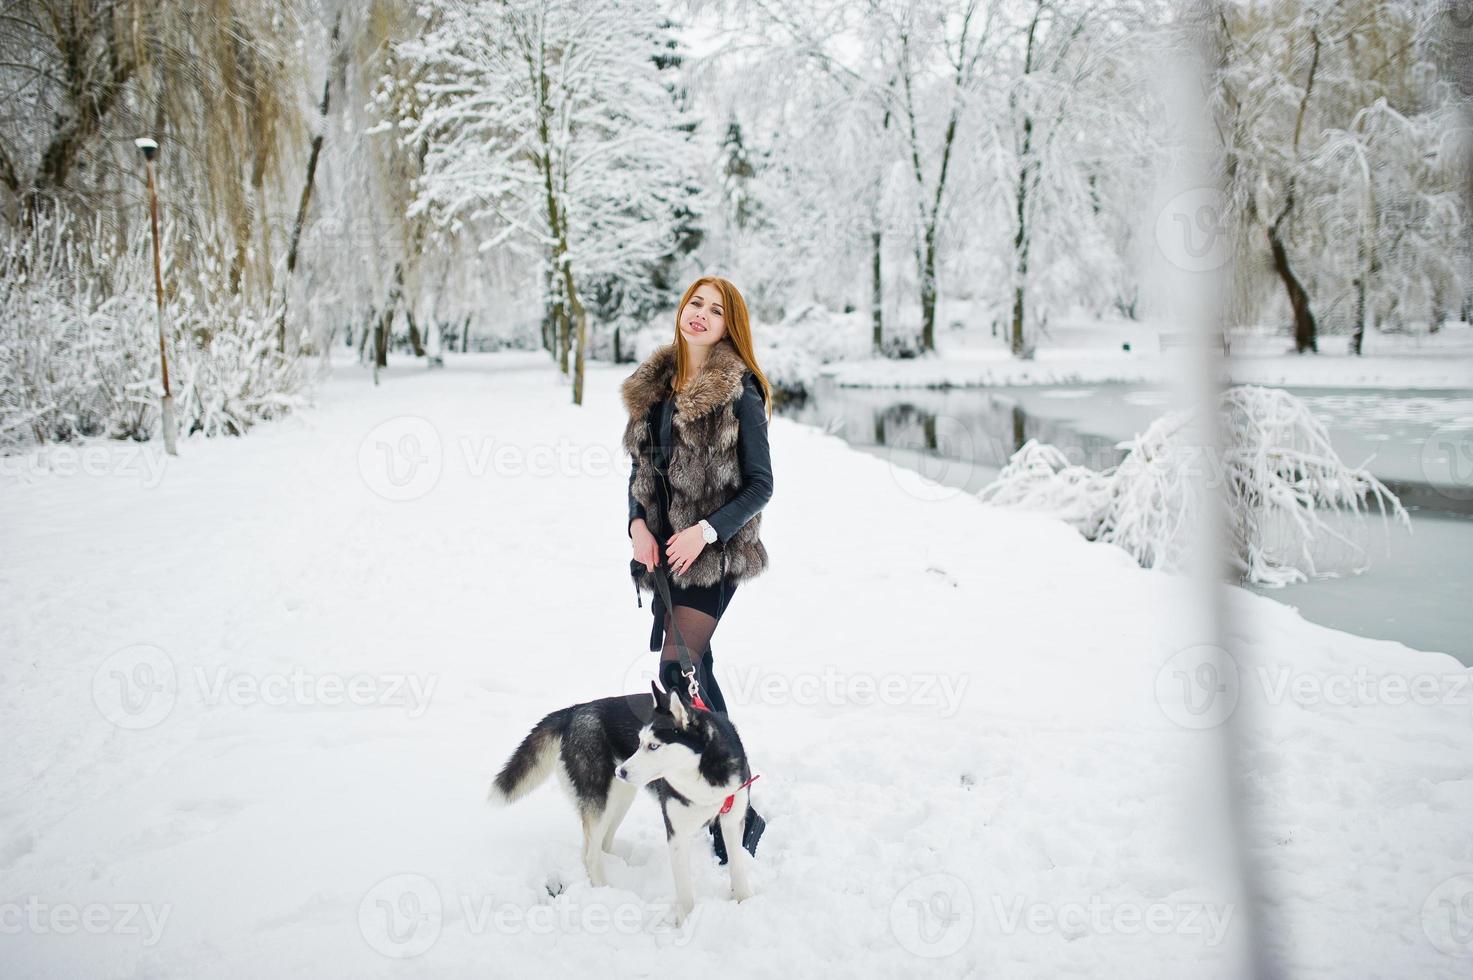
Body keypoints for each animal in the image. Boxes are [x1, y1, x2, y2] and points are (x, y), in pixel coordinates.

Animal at [489, 680, 760, 919]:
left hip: (620, 800)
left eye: (653, 746)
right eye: (640, 742)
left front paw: (744, 903)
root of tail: (574, 711)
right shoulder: (677, 833)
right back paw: (603, 892)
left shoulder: (732, 820)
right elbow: (685, 892)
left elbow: (737, 866)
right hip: (600, 802)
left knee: (598, 847)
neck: (704, 777)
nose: (622, 771)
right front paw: (687, 922)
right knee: (590, 855)